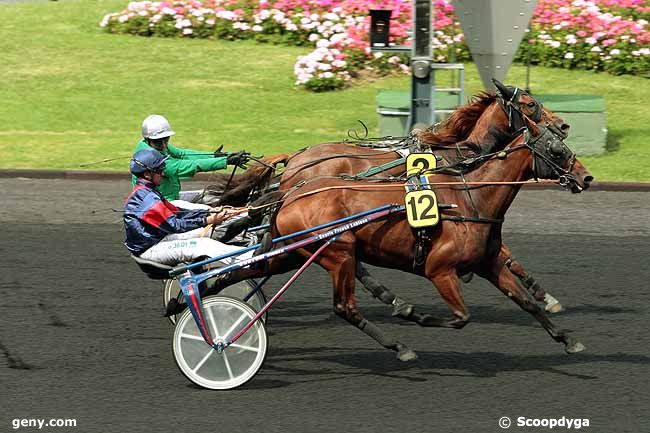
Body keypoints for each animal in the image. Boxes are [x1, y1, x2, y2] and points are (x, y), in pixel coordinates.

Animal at [278, 81, 588, 318]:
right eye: (530, 104)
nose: (563, 126)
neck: (459, 156)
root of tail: (293, 161)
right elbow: (507, 256)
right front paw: (547, 299)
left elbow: (508, 259)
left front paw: (545, 297)